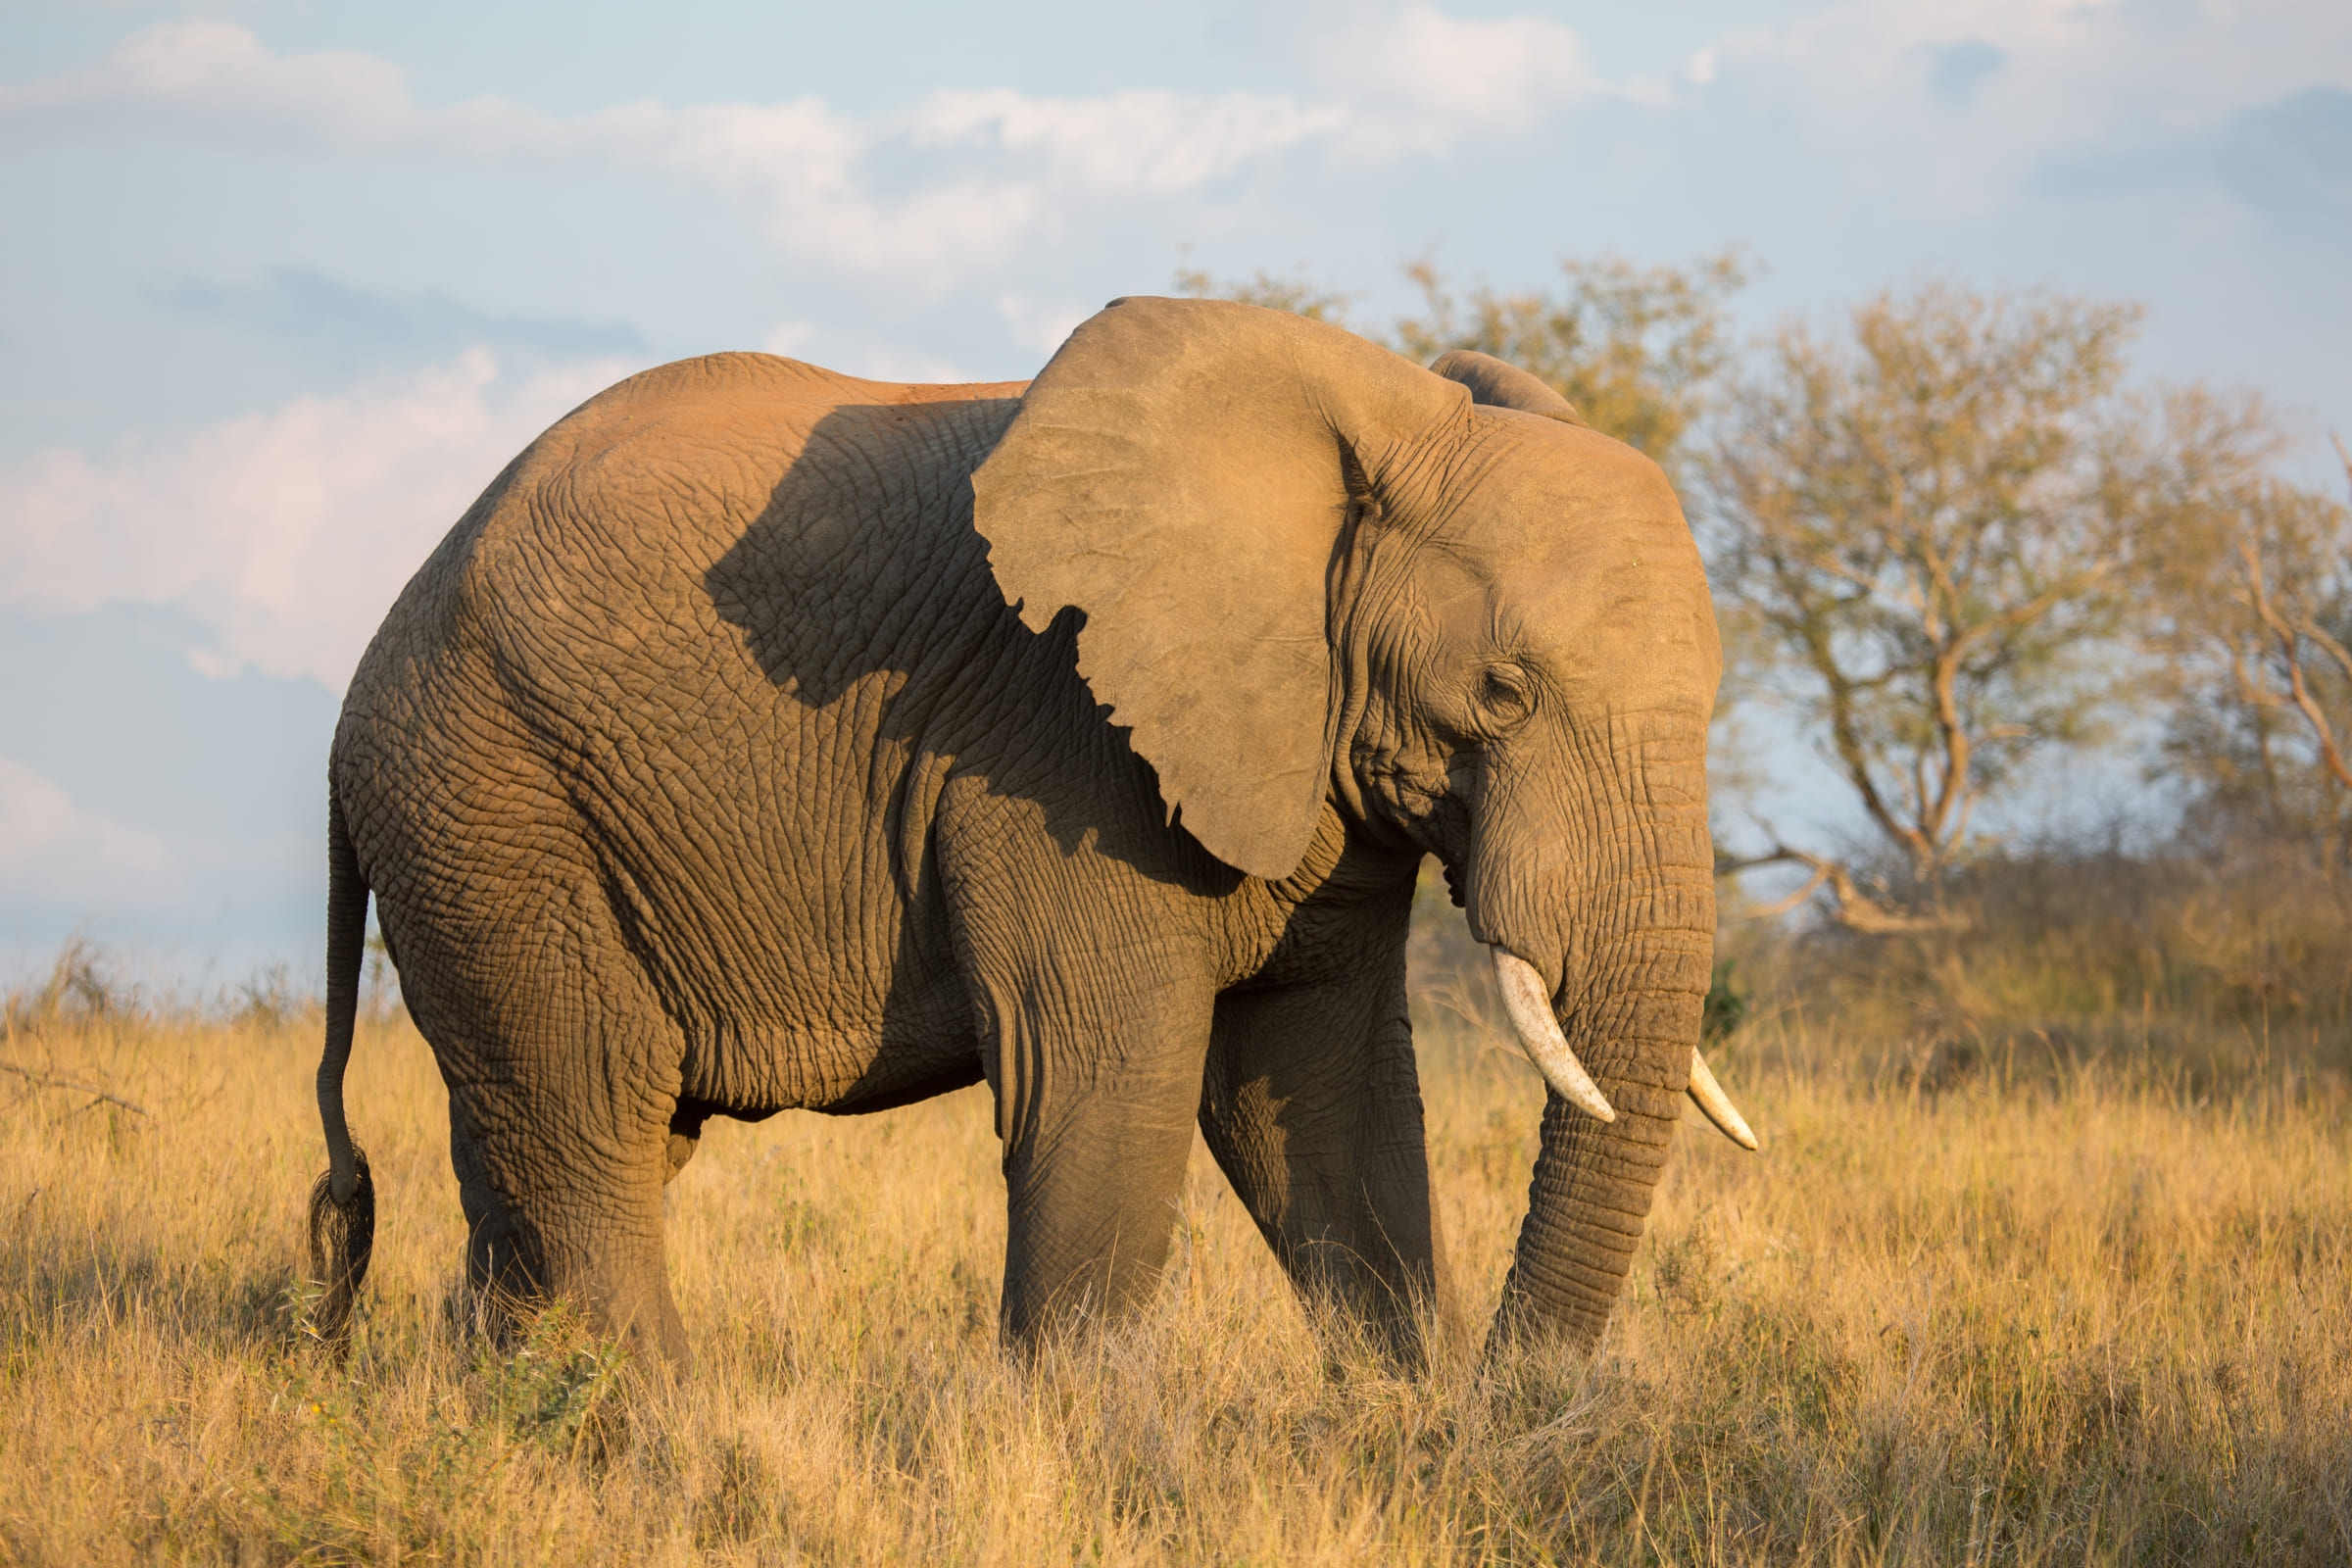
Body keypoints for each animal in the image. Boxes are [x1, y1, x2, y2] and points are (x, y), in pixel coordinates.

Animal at [303, 293, 1759, 1372]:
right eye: (1502, 693)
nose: (1511, 1393)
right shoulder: (1056, 748)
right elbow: (1102, 1079)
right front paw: (1106, 1460)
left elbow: (1324, 1096)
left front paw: (1405, 1423)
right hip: (492, 804)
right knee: (592, 1117)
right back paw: (655, 1428)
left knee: (539, 1146)